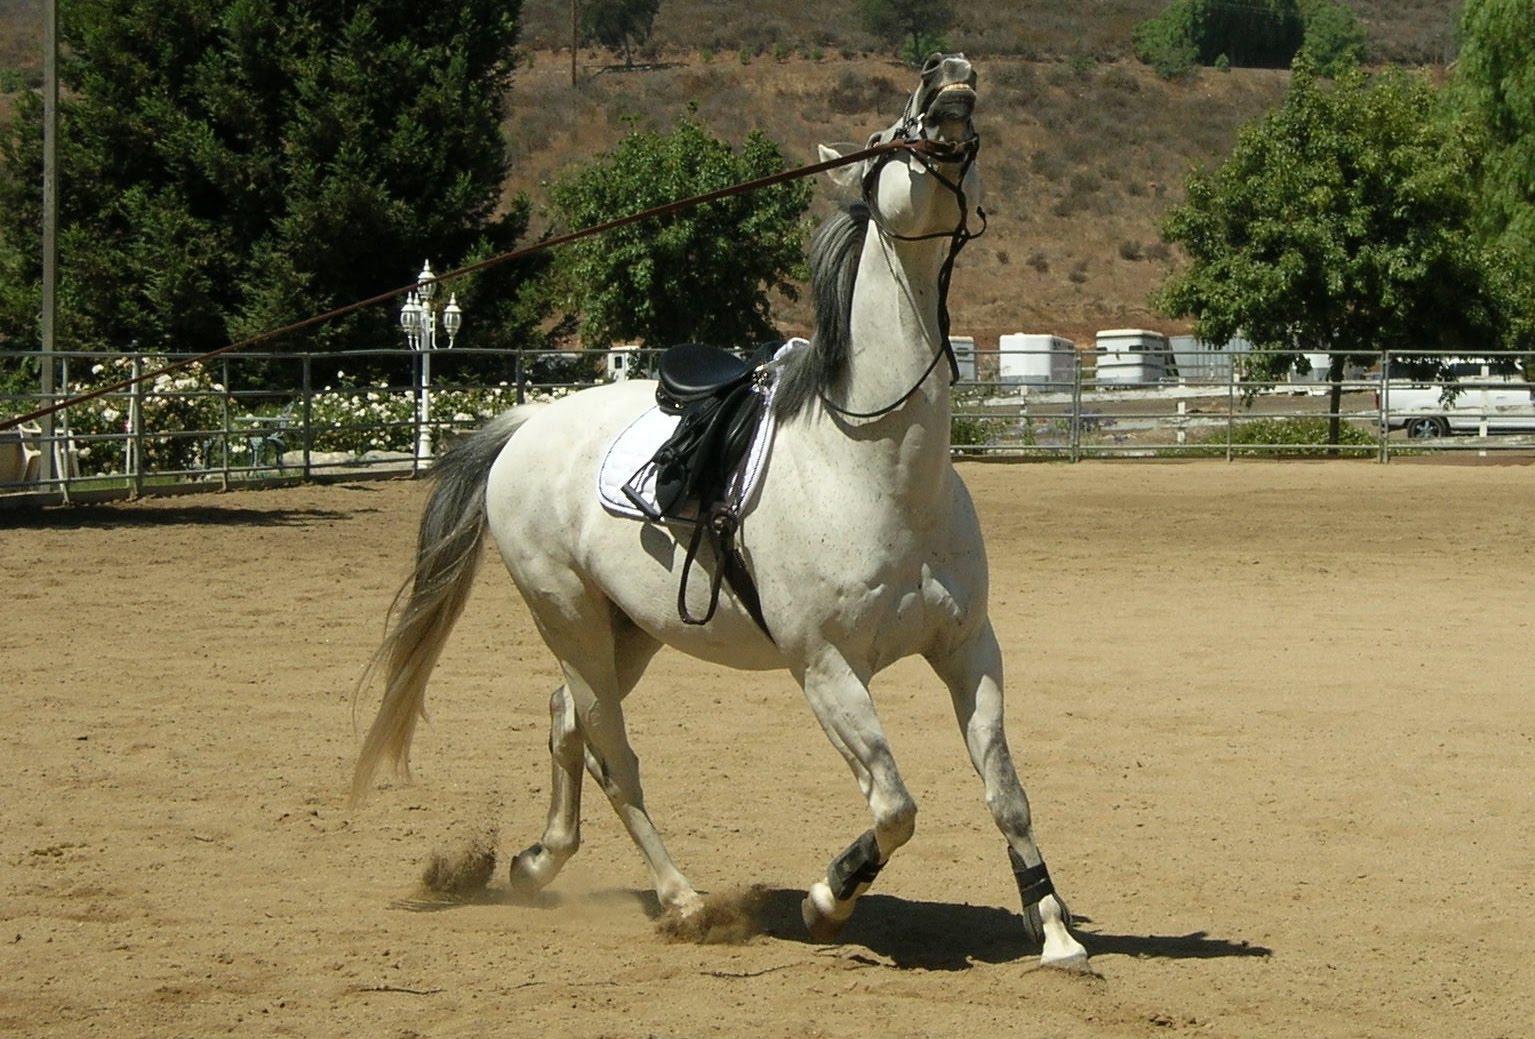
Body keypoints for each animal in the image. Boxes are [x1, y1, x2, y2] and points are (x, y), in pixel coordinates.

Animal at [352, 53, 1090, 972]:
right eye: (885, 137)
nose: (945, 75)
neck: (874, 468)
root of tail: (526, 424)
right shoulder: (825, 670)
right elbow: (894, 805)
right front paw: (826, 898)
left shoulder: (968, 650)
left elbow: (1006, 792)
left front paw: (1052, 926)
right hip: (567, 615)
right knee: (613, 755)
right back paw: (684, 899)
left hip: (625, 628)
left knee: (565, 722)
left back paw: (539, 860)